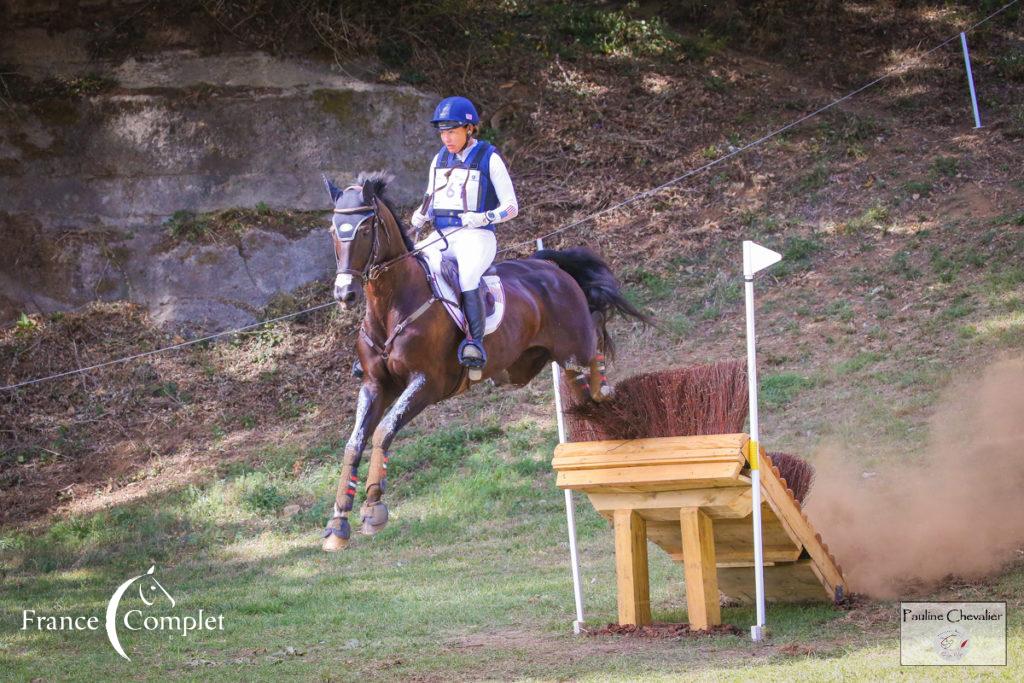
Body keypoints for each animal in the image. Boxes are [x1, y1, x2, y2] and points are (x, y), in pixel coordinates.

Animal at [319, 174, 647, 552]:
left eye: (365, 228)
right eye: (333, 229)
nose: (345, 294)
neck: (392, 304)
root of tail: (548, 266)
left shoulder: (426, 383)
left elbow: (383, 431)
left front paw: (373, 509)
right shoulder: (375, 384)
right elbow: (354, 442)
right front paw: (338, 523)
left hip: (572, 346)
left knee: (594, 341)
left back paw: (605, 385)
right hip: (529, 365)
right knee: (581, 383)